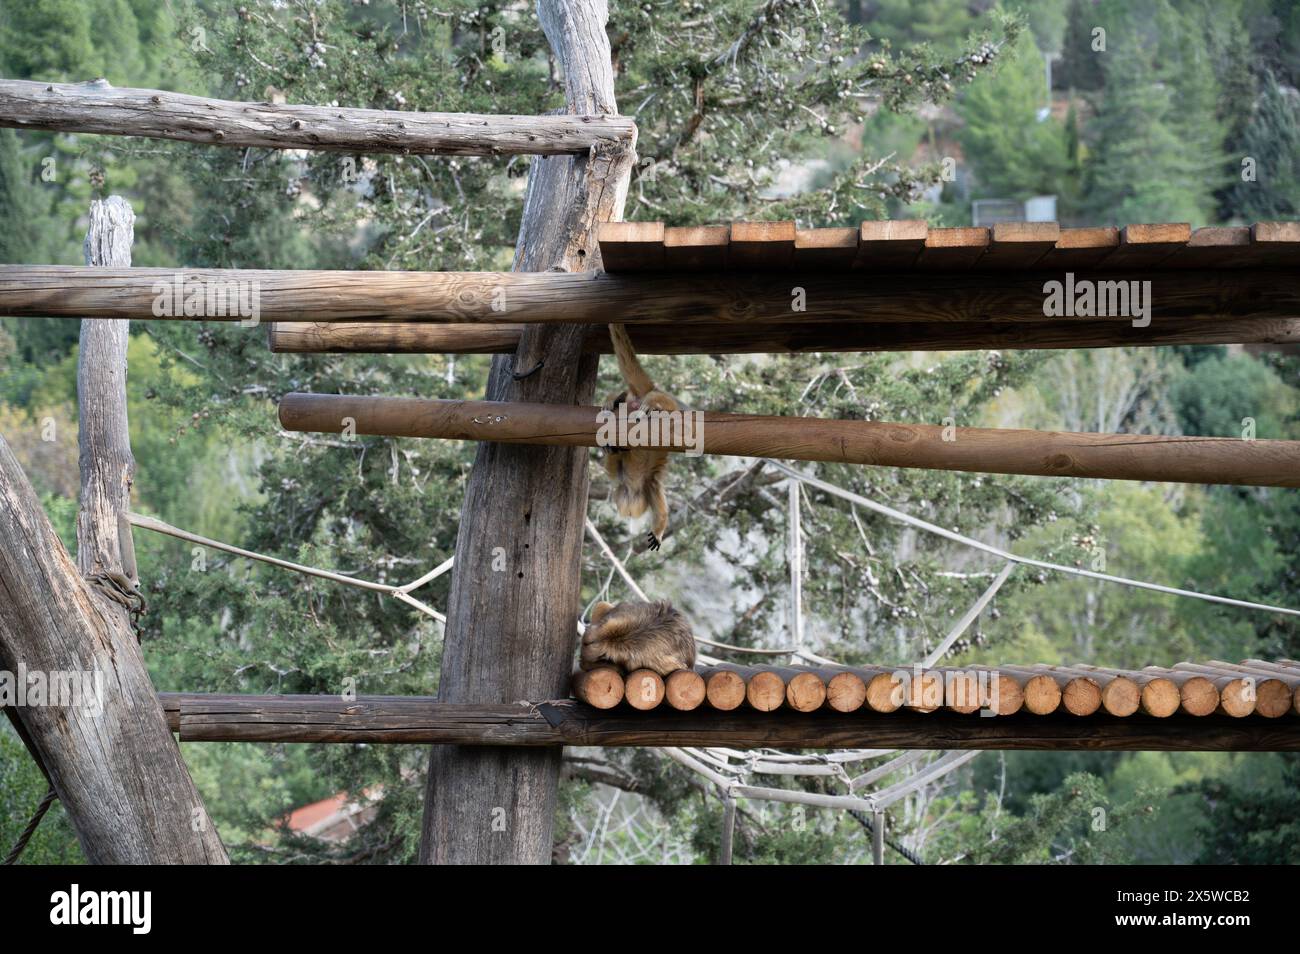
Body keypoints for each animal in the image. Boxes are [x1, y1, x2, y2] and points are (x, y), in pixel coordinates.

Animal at [602, 323, 677, 551]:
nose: (628, 514)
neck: (632, 485)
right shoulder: (634, 481)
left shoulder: (648, 484)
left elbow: (662, 512)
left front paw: (658, 532)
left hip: (665, 402)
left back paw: (649, 403)